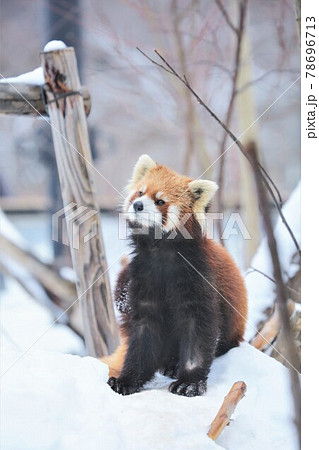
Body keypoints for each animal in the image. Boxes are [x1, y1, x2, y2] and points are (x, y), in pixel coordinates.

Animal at [105, 155, 248, 398]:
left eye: (160, 201)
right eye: (140, 192)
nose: (137, 205)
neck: (160, 252)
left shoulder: (199, 278)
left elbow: (198, 332)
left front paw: (189, 383)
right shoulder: (143, 278)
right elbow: (144, 337)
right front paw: (127, 380)